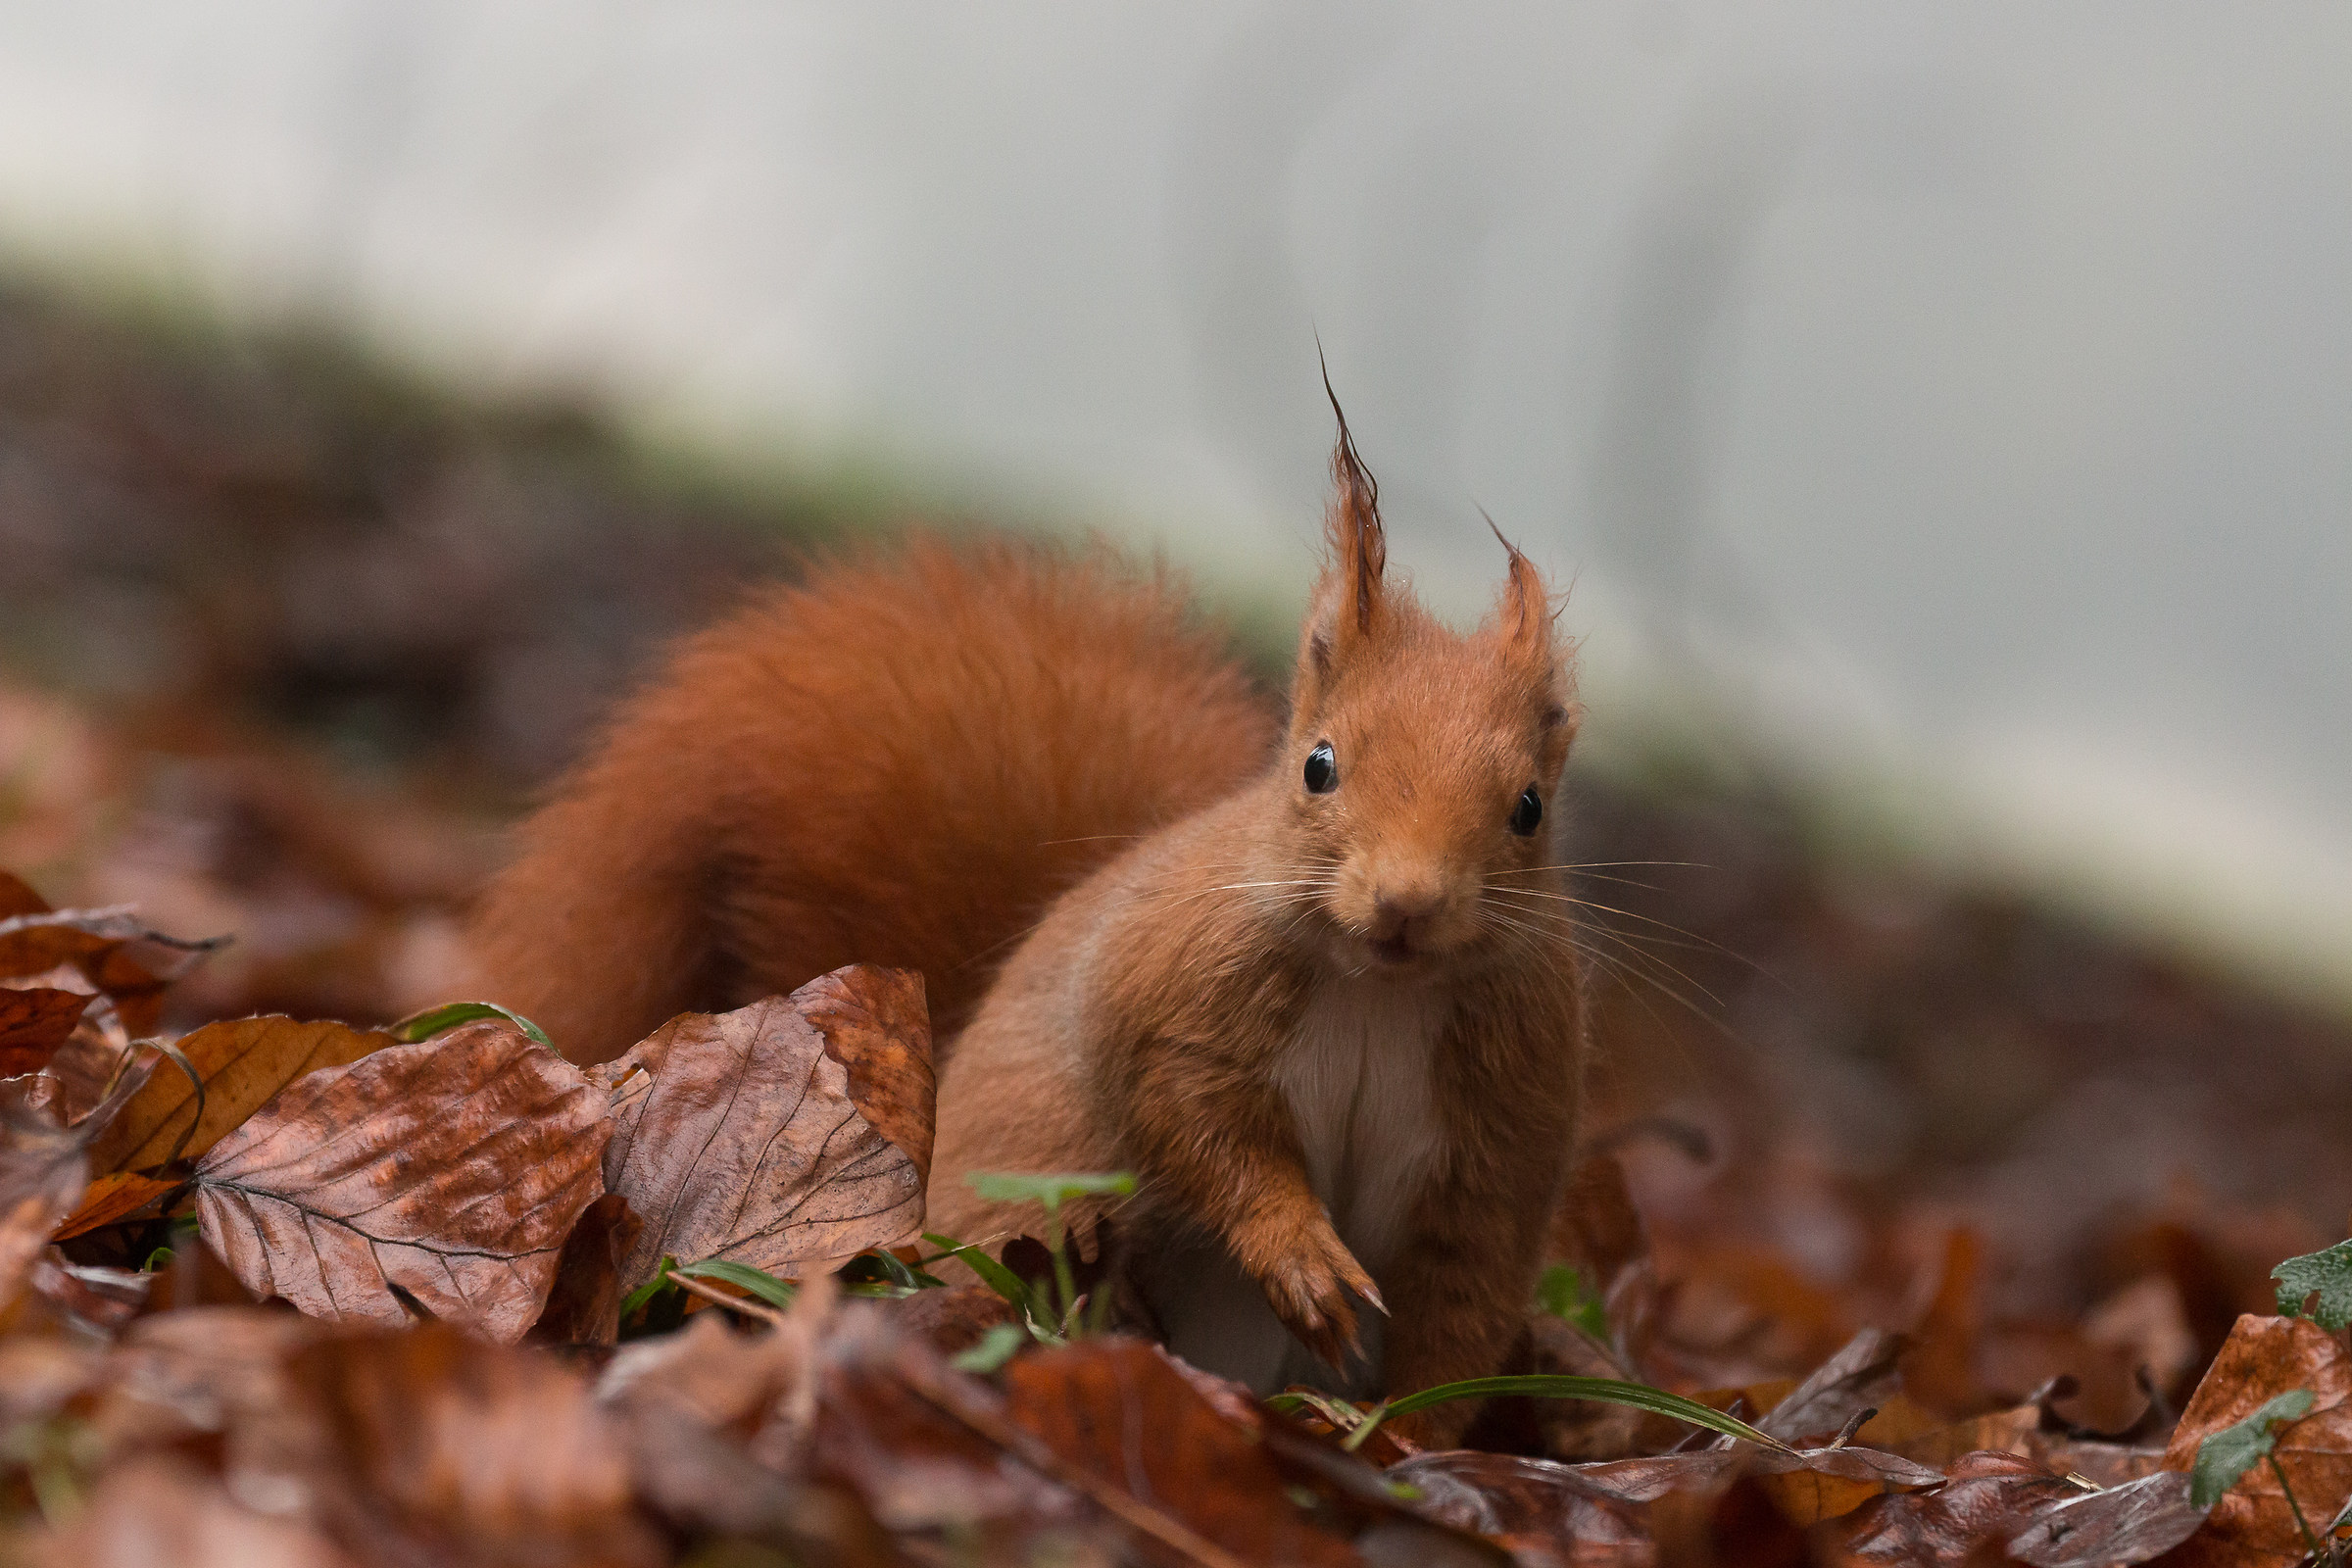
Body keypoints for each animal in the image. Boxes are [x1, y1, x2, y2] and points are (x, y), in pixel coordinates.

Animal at [469, 405, 1586, 1442]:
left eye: (1531, 808)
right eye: (1318, 765)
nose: (1408, 905)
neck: (1377, 990)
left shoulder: (1499, 1132)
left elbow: (1460, 1300)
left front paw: (1412, 1437)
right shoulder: (1170, 998)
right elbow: (1198, 1123)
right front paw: (1301, 1257)